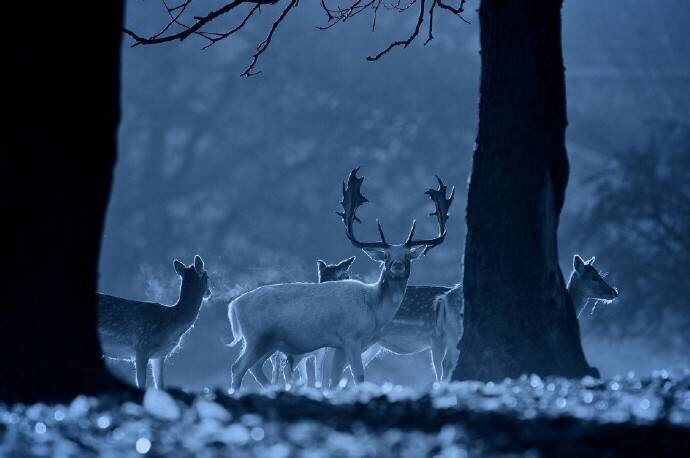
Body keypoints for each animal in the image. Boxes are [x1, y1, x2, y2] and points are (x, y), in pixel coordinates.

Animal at [97, 256, 210, 388]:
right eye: (207, 276)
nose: (209, 292)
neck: (171, 322)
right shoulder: (142, 348)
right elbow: (142, 384)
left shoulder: (159, 356)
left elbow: (160, 385)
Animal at [226, 168, 452, 390]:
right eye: (386, 257)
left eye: (407, 256)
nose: (397, 266)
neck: (374, 308)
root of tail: (234, 306)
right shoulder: (351, 337)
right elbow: (359, 376)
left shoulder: (341, 345)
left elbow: (334, 380)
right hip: (258, 337)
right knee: (238, 367)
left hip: (270, 343)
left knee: (255, 368)